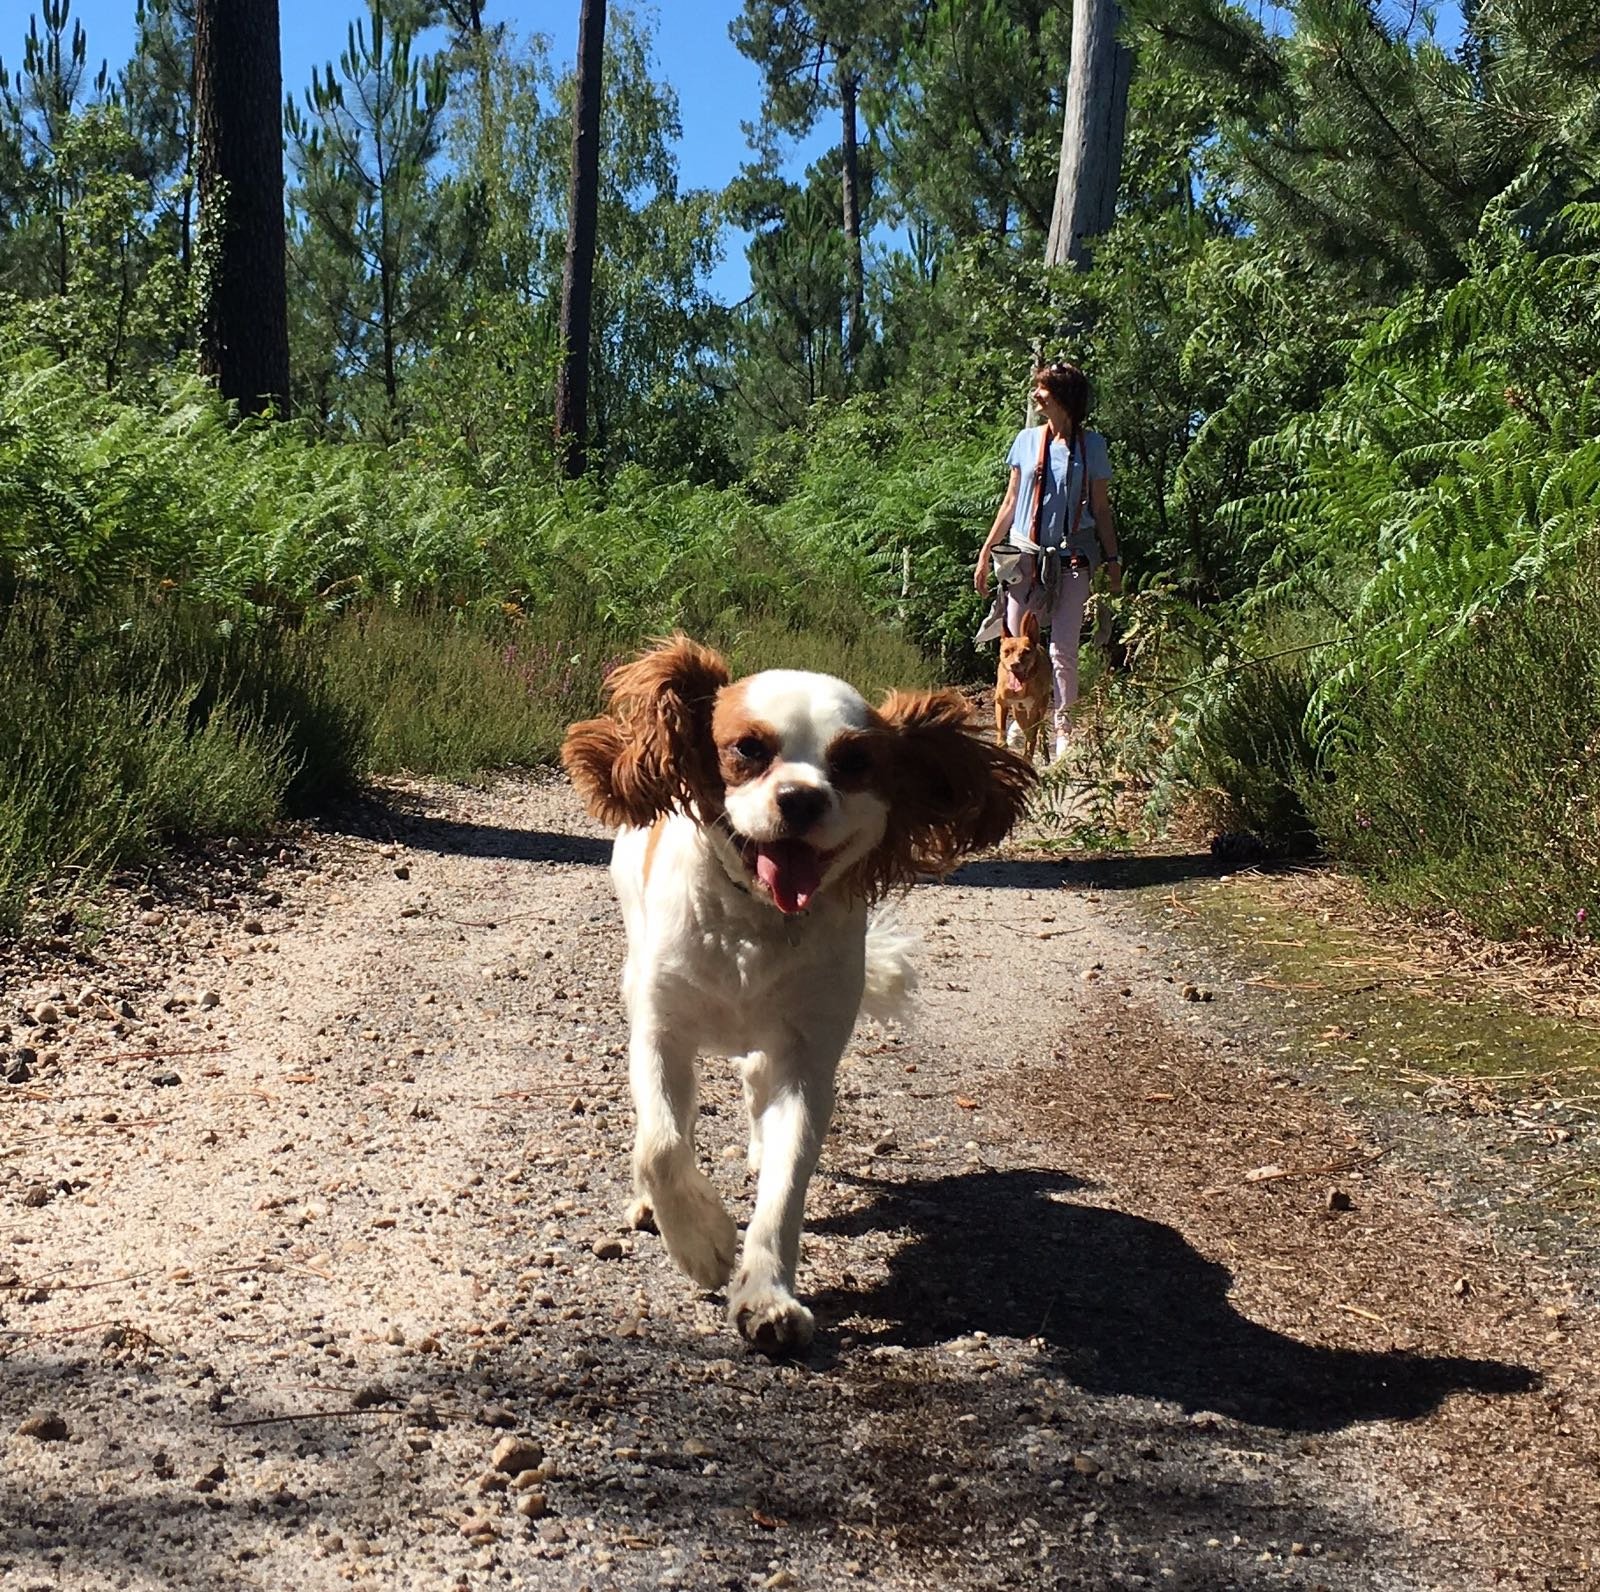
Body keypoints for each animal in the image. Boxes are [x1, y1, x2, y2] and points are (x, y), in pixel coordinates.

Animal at [563, 640, 1036, 1350]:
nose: (802, 798)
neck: (757, 920)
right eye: (748, 748)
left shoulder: (808, 1061)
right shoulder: (660, 1032)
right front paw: (703, 1242)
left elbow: (785, 1187)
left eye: (854, 763)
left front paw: (767, 1296)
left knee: (756, 1087)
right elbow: (662, 1145)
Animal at [992, 611, 1056, 758]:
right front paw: (1002, 744)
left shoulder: (1033, 710)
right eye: (1007, 651)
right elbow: (1001, 728)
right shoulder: (1001, 704)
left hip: (1042, 706)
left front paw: (1028, 756)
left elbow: (1031, 736)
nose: (1014, 664)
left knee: (1038, 730)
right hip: (1018, 711)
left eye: (1026, 652)